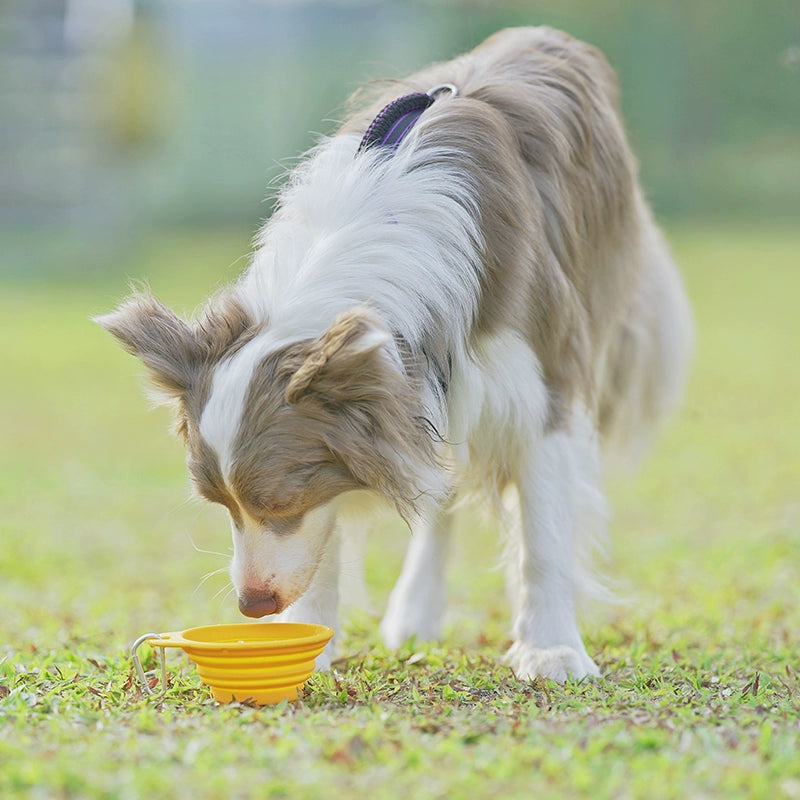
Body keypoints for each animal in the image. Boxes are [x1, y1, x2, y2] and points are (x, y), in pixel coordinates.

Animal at [98, 28, 688, 684]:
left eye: (280, 501)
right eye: (219, 503)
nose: (253, 606)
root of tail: (545, 33)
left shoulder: (541, 381)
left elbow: (543, 532)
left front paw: (553, 651)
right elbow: (333, 532)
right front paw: (312, 643)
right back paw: (414, 614)